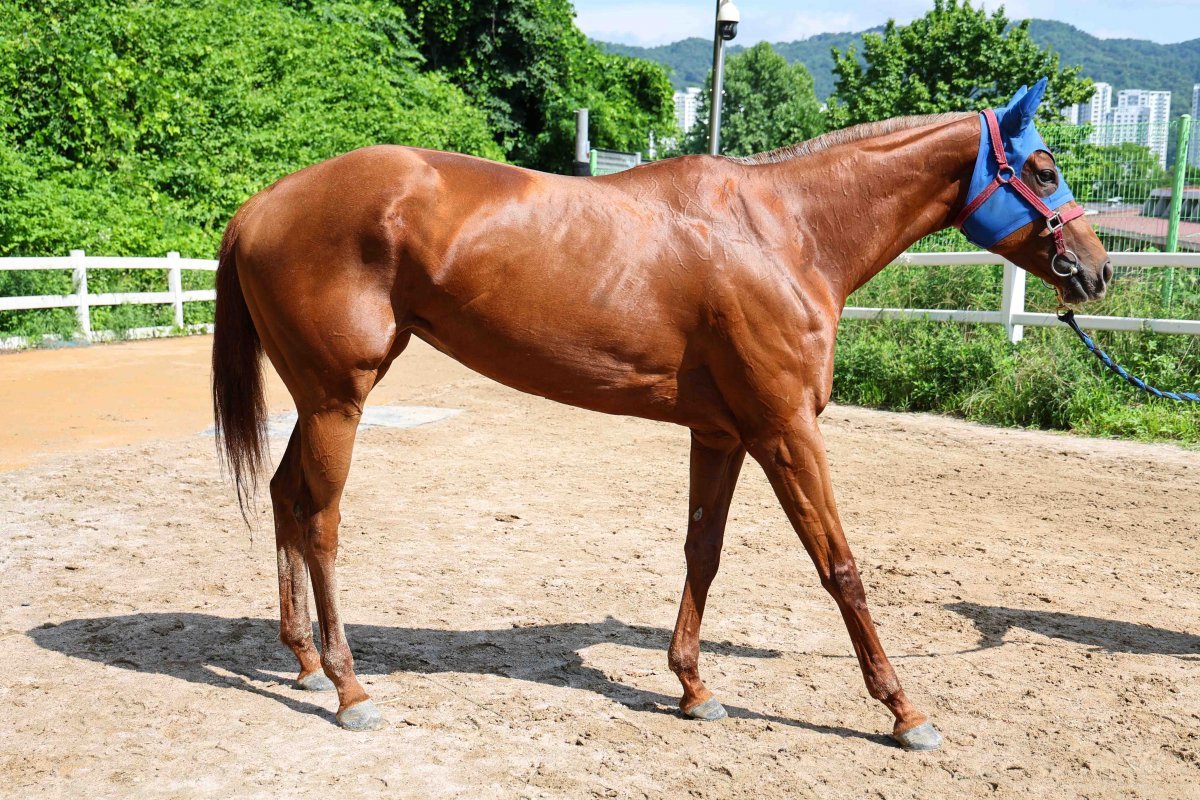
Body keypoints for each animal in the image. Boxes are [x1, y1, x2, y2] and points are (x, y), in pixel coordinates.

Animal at [213, 82, 1104, 753]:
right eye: (1044, 168)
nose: (1095, 271)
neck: (784, 233)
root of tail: (261, 205)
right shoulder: (786, 430)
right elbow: (840, 566)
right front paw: (904, 710)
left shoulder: (723, 434)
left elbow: (701, 554)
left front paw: (694, 687)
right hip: (339, 401)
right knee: (320, 520)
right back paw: (348, 686)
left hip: (317, 403)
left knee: (287, 498)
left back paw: (301, 660)